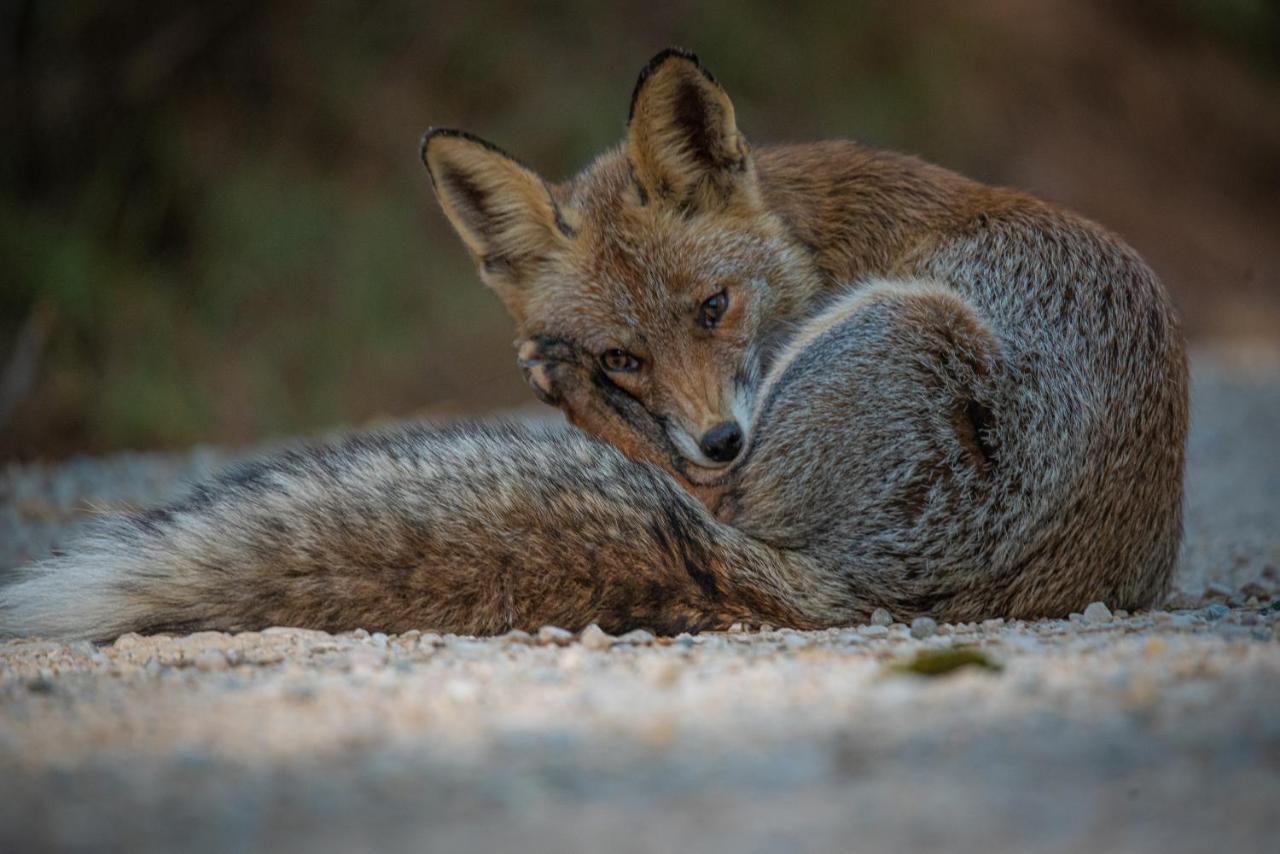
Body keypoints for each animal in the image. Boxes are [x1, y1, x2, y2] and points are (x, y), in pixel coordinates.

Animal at [0, 50, 1187, 640]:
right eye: (628, 355)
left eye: (713, 308)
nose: (717, 436)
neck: (817, 242)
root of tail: (881, 593)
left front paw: (563, 387)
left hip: (906, 325)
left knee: (700, 506)